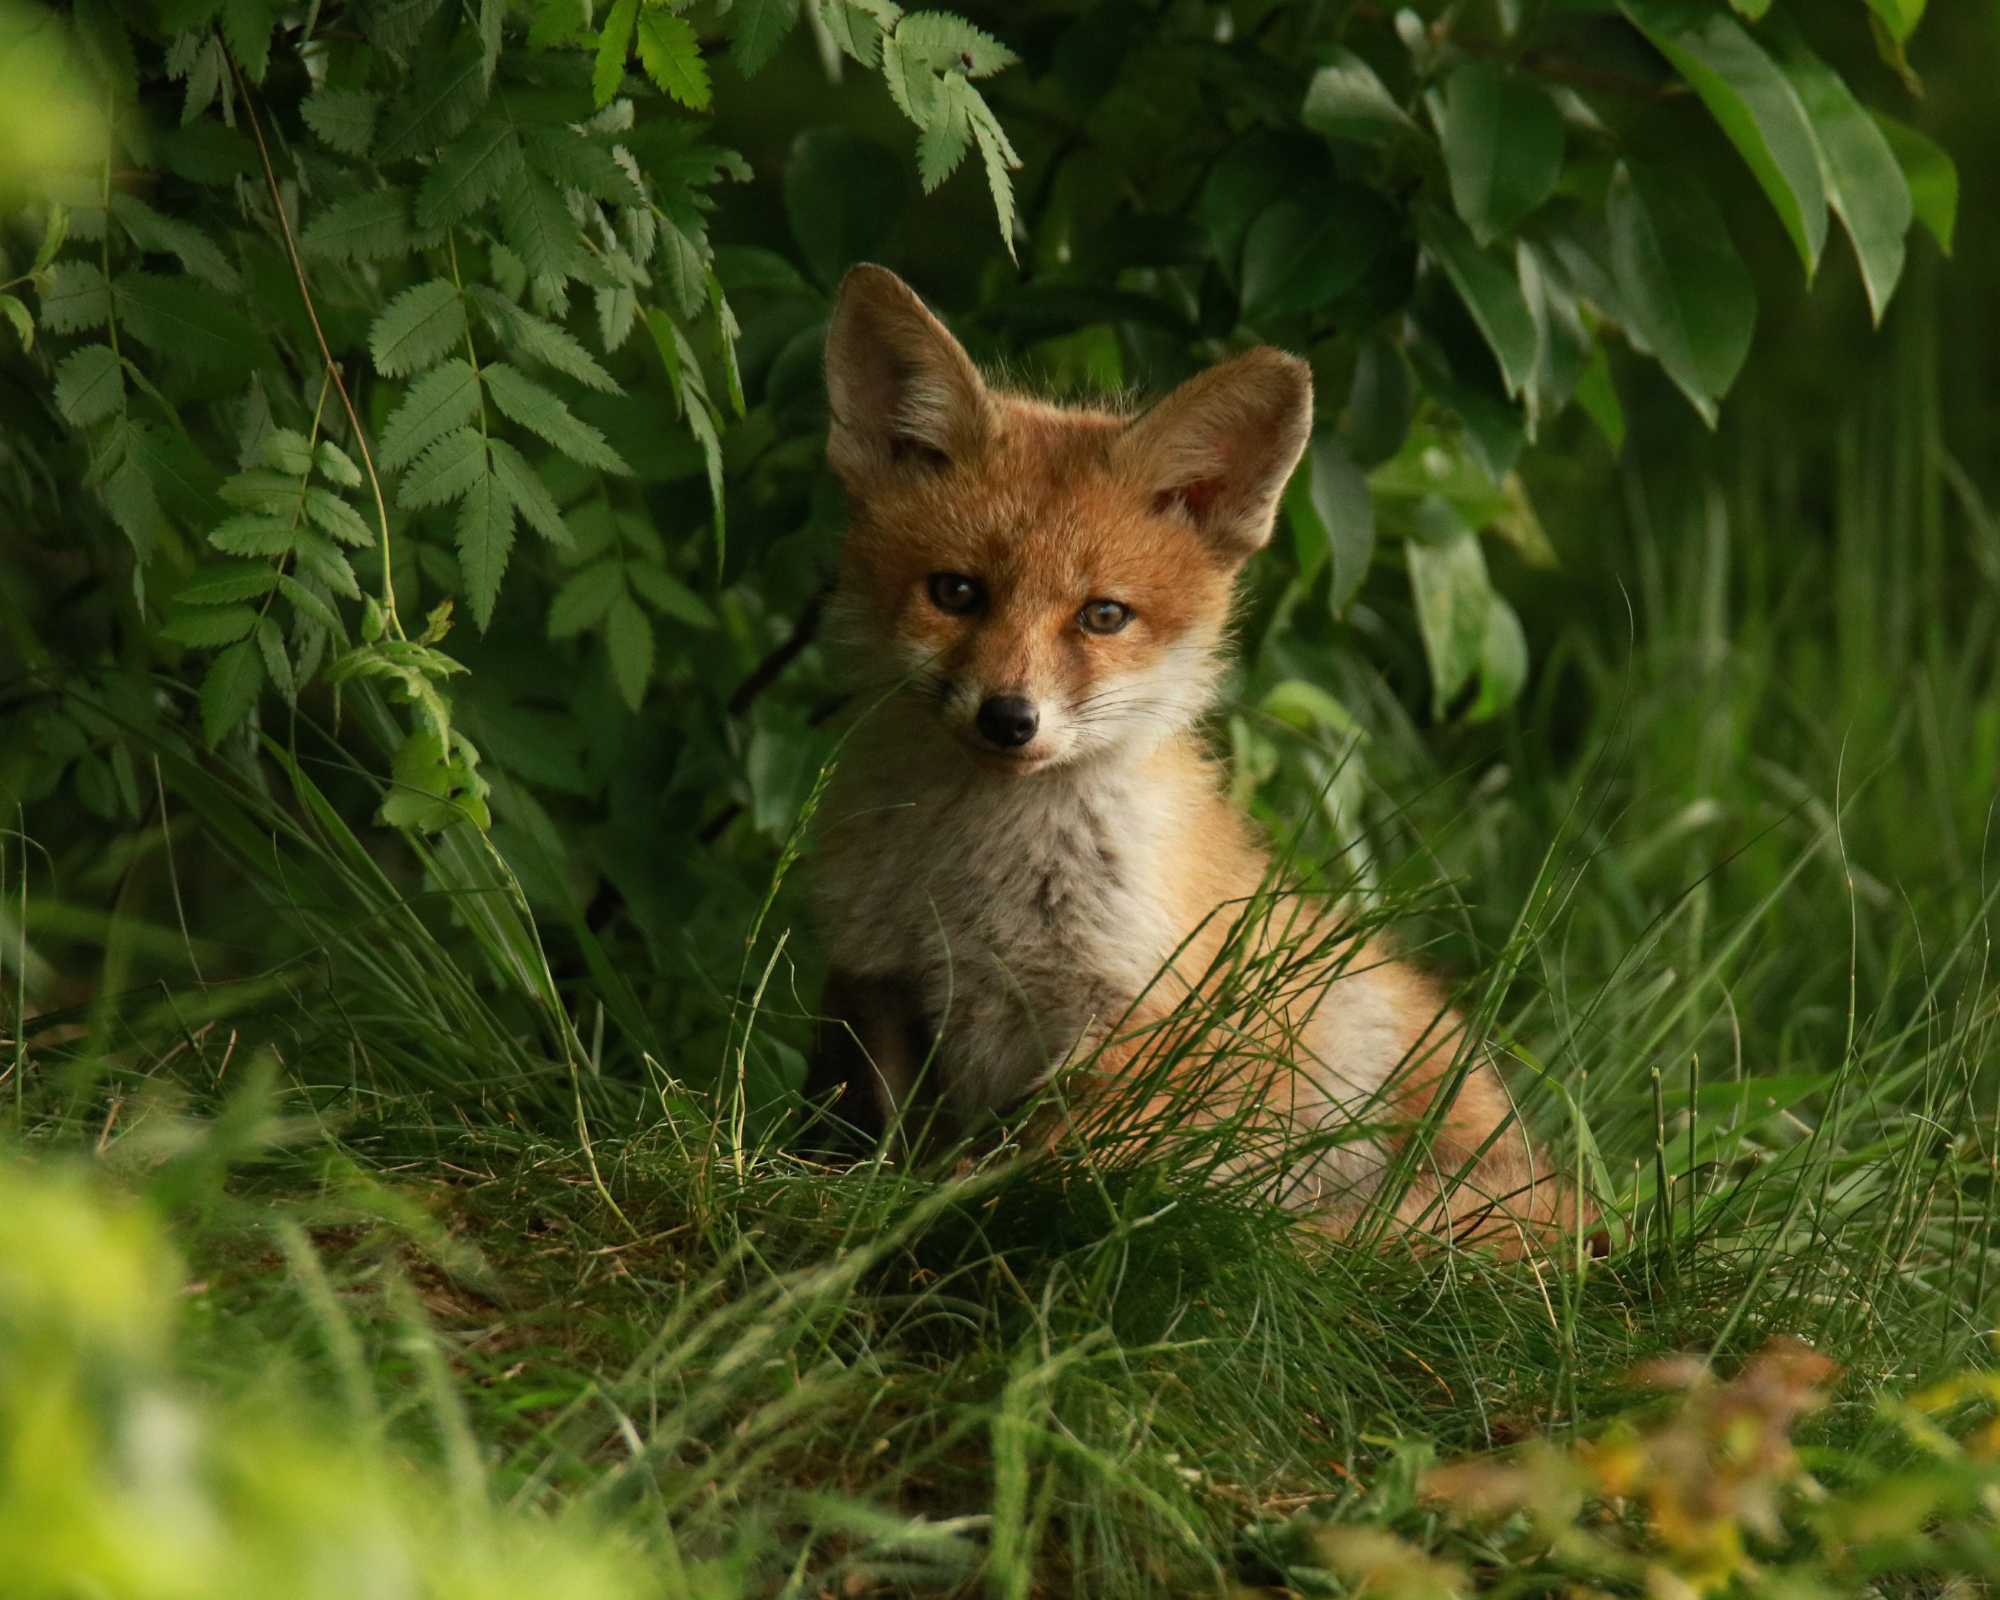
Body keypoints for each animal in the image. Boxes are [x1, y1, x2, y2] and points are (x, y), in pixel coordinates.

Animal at [804, 268, 1584, 1256]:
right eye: (956, 592)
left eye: (1103, 615)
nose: (1009, 718)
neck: (978, 887)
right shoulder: (880, 979)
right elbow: (886, 1140)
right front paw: (873, 1200)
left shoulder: (1138, 1018)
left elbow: (1035, 1167)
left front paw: (953, 1209)